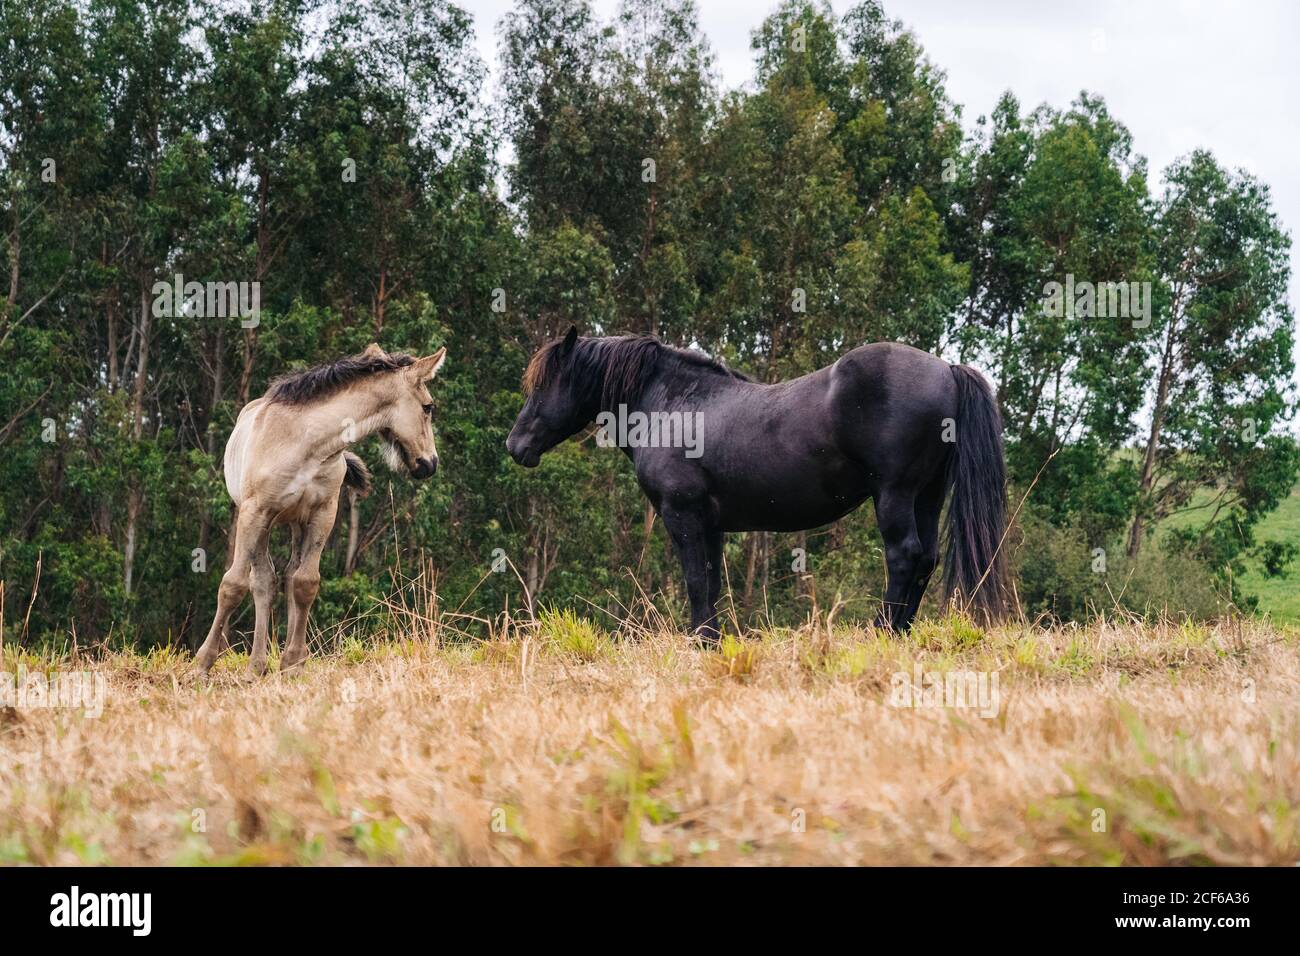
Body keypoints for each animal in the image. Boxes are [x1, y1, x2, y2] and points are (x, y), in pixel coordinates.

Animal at [195, 343, 447, 676]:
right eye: (428, 407)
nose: (430, 463)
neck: (305, 443)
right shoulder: (254, 512)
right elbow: (232, 584)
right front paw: (202, 663)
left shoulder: (322, 514)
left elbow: (305, 583)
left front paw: (293, 662)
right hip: (262, 523)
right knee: (262, 582)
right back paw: (255, 667)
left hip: (296, 523)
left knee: (287, 577)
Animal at [506, 328, 1006, 641]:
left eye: (544, 385)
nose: (515, 445)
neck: (673, 404)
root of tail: (946, 369)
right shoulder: (710, 524)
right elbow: (710, 582)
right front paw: (710, 641)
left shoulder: (682, 515)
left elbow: (695, 582)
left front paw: (700, 643)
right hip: (928, 497)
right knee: (926, 560)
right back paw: (901, 633)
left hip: (895, 495)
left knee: (904, 556)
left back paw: (884, 632)